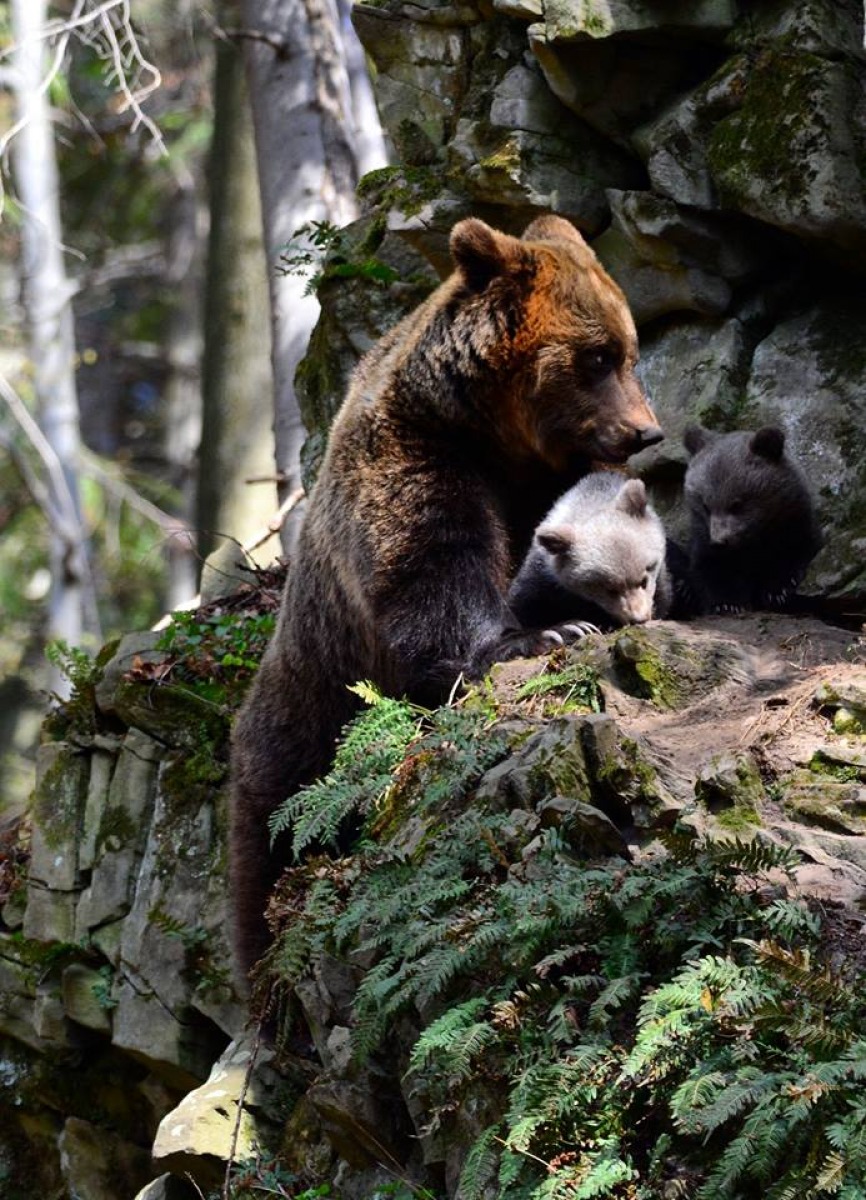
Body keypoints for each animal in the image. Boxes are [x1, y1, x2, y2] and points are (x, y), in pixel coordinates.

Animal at [225, 213, 657, 974]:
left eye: (628, 350)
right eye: (599, 356)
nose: (645, 430)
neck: (496, 436)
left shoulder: (545, 481)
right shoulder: (419, 460)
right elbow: (433, 573)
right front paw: (541, 635)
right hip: (298, 740)